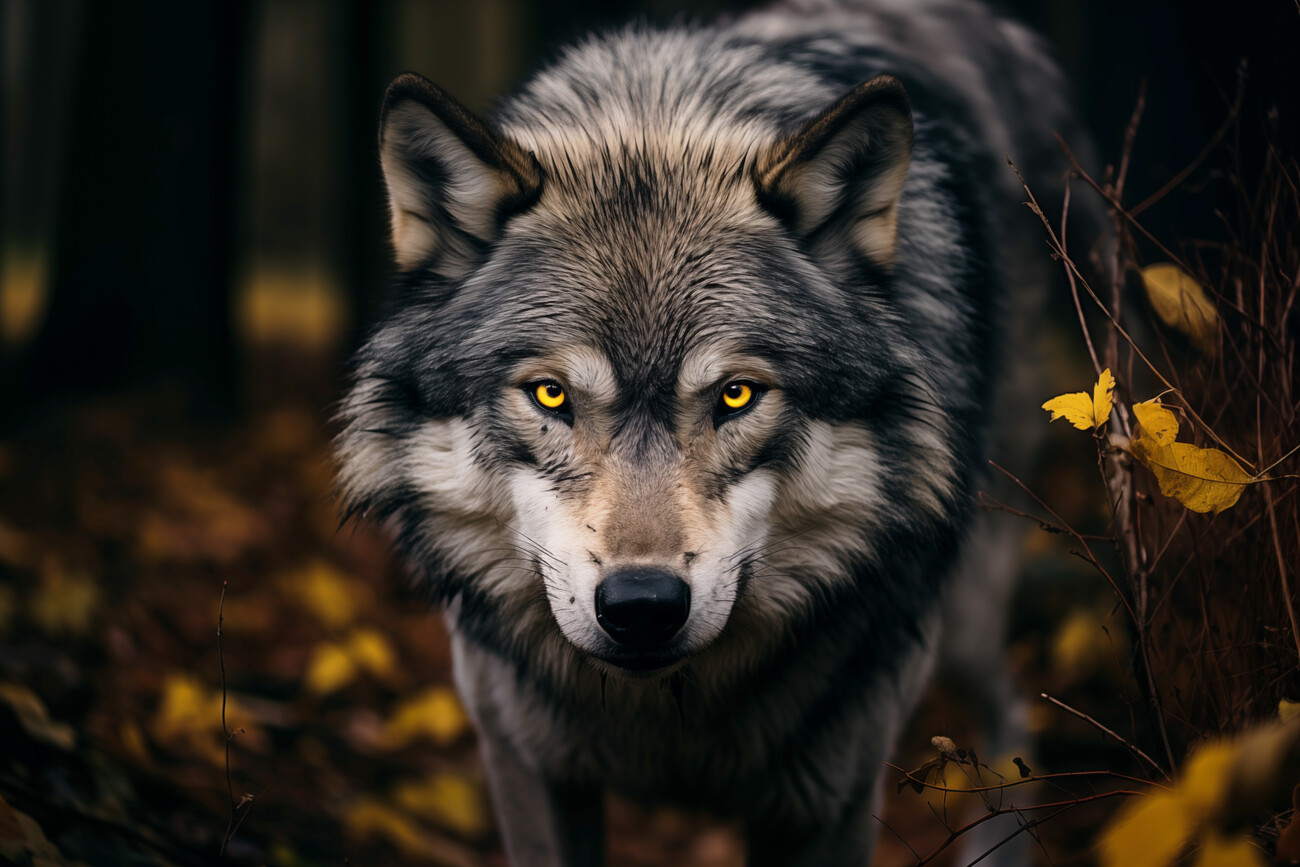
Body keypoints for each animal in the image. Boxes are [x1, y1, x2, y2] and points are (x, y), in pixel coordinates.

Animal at [336, 0, 1087, 863]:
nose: (642, 604)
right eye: (550, 393)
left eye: (735, 394)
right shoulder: (525, 759)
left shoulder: (831, 793)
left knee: (1013, 710)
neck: (669, 712)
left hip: (959, 620)